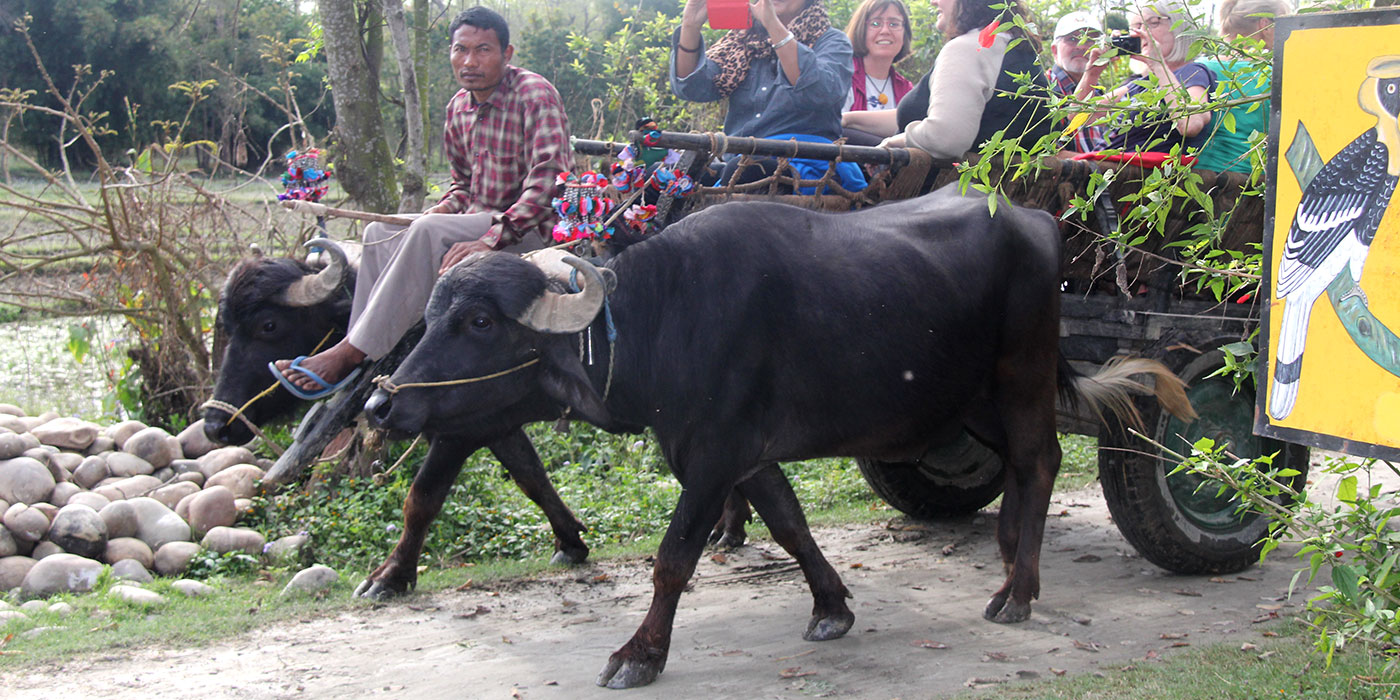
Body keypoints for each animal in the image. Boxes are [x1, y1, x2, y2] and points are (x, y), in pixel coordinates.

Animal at [361, 184, 1192, 688]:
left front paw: (639, 654)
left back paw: (1017, 590)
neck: (667, 317)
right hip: (970, 399)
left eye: (479, 321)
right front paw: (832, 608)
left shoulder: (712, 457)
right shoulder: (741, 456)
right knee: (1018, 468)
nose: (379, 405)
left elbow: (673, 560)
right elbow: (791, 525)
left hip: (1021, 373)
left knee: (1040, 459)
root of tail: (1036, 220)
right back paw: (1012, 559)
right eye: (431, 314)